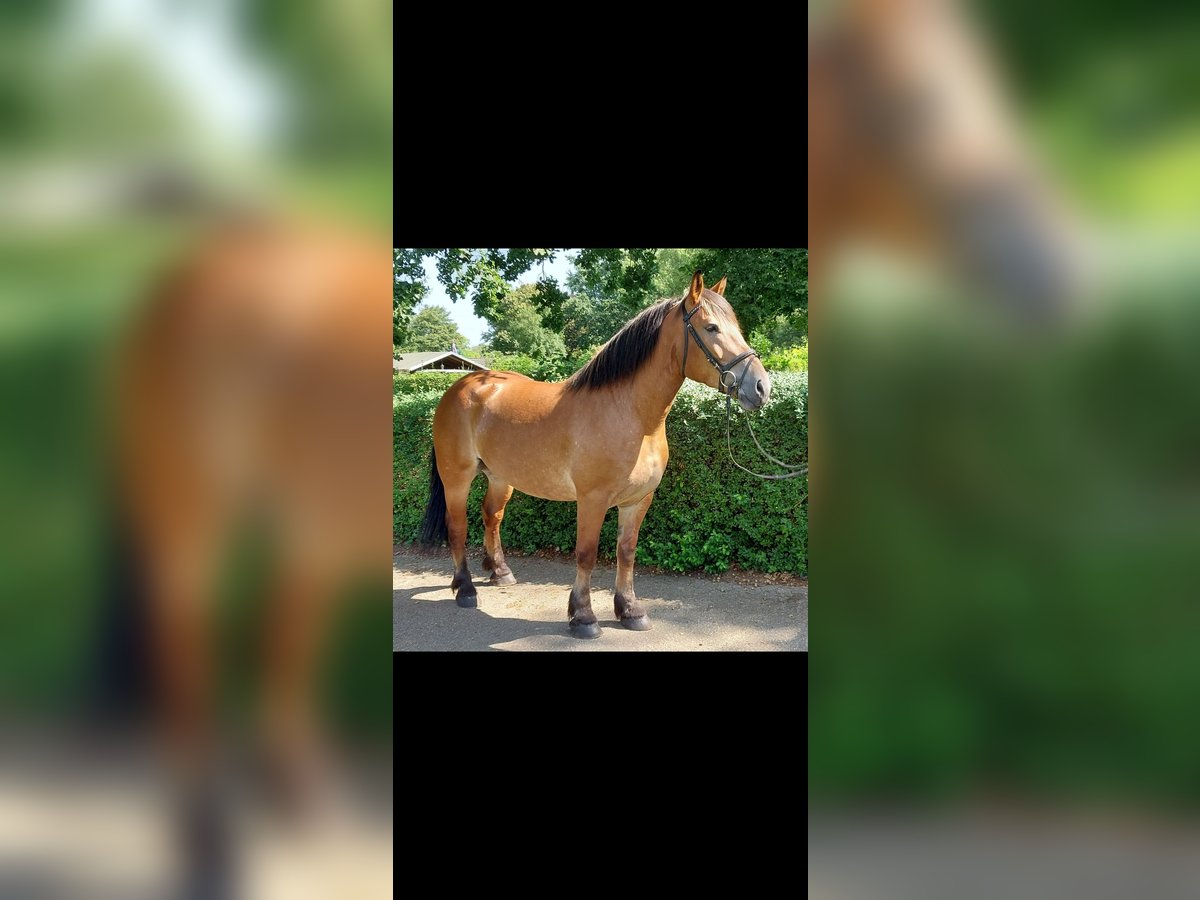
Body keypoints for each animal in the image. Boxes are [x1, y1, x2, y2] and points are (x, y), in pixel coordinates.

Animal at [419, 271, 772, 639]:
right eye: (712, 327)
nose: (762, 387)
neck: (630, 415)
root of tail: (462, 385)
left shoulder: (638, 500)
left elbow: (626, 552)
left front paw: (630, 610)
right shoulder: (592, 499)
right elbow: (586, 554)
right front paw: (583, 616)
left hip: (500, 478)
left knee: (492, 516)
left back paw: (499, 572)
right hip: (456, 478)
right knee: (458, 527)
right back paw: (465, 588)